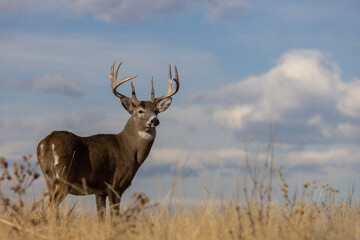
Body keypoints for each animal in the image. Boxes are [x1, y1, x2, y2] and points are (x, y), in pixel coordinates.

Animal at [35, 60, 179, 218]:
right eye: (140, 111)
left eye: (156, 111)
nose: (154, 121)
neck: (128, 148)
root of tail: (48, 142)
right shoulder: (116, 184)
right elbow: (115, 216)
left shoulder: (99, 191)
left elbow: (101, 216)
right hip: (64, 177)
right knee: (51, 203)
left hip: (48, 178)